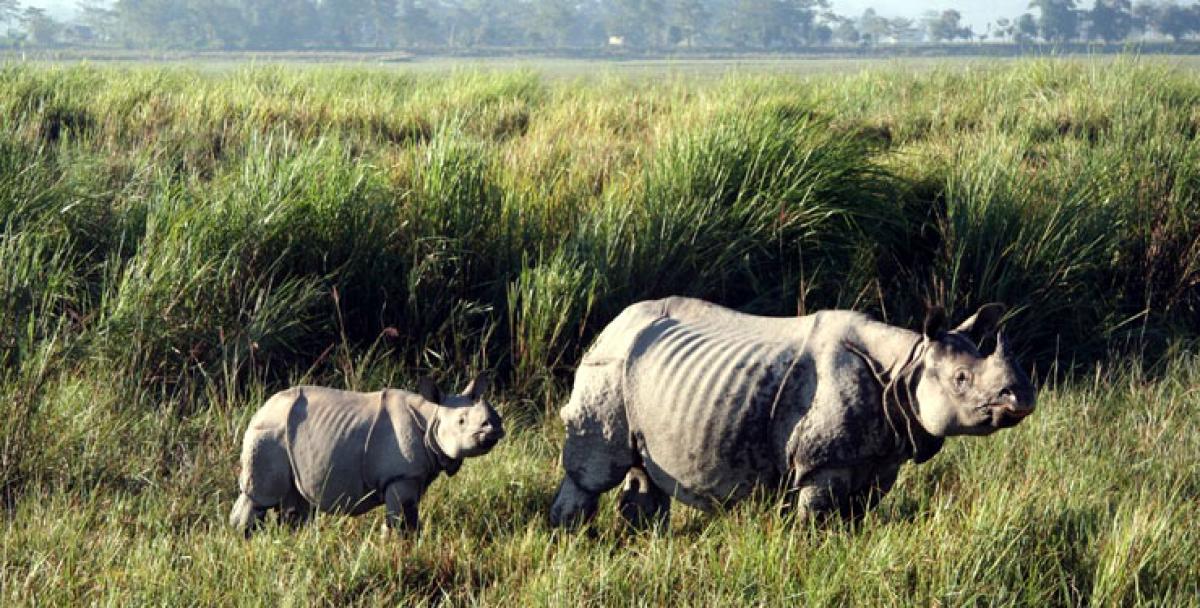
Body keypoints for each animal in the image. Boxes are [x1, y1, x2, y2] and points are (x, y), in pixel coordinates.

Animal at [229, 376, 501, 537]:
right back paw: (243, 540)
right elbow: (399, 519)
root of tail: (260, 409)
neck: (432, 416)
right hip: (269, 433)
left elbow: (412, 519)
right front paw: (395, 548)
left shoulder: (415, 476)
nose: (494, 428)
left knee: (296, 503)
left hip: (286, 435)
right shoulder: (400, 476)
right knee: (258, 497)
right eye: (462, 421)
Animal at [549, 297, 1036, 530]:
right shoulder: (822, 463)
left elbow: (857, 516)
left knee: (641, 467)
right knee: (596, 468)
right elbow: (816, 516)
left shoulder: (879, 458)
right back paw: (570, 535)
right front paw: (811, 550)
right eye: (961, 379)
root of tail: (612, 323)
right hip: (609, 365)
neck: (907, 365)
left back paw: (642, 539)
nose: (1022, 400)